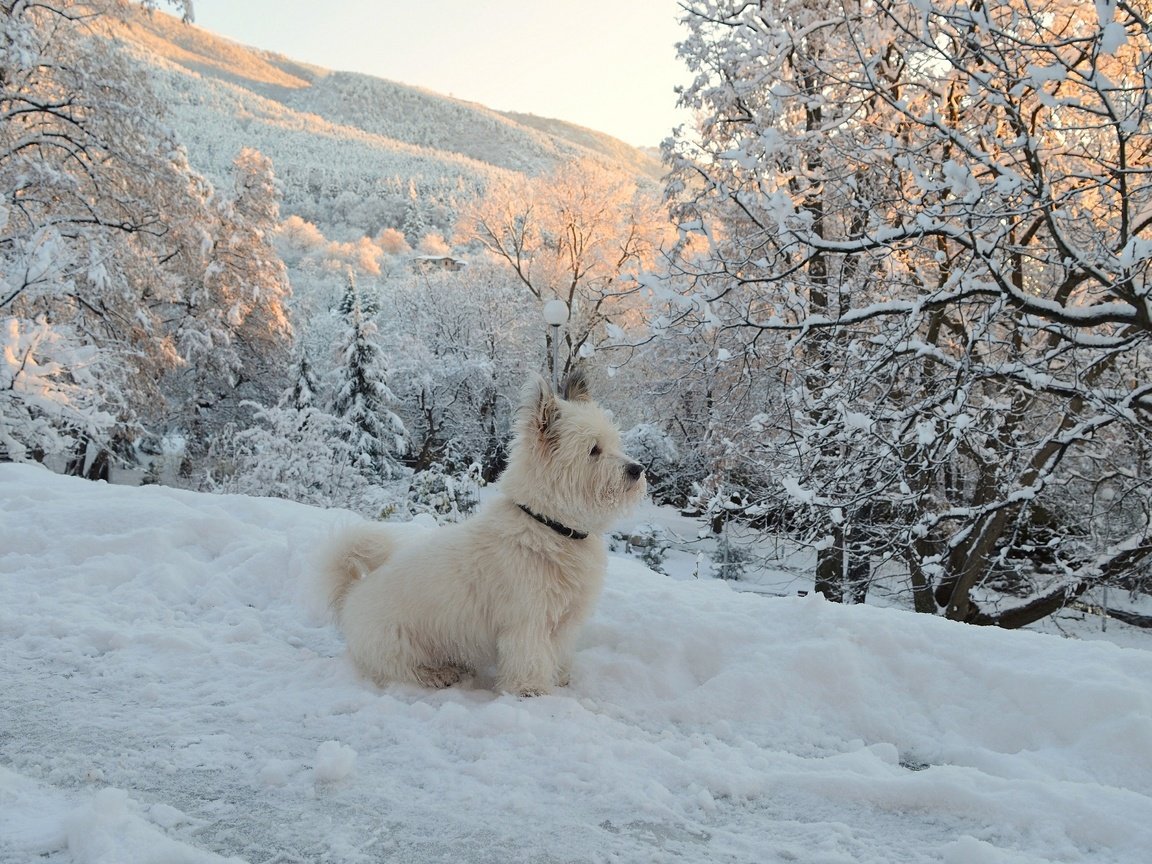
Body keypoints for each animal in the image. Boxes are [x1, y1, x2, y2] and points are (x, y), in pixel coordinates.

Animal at [324, 370, 645, 695]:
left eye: (614, 442)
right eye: (593, 449)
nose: (638, 469)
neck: (548, 524)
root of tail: (351, 595)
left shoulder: (564, 622)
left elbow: (558, 652)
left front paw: (560, 678)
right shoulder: (527, 621)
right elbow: (529, 658)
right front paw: (531, 690)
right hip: (398, 644)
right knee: (403, 669)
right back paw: (438, 673)